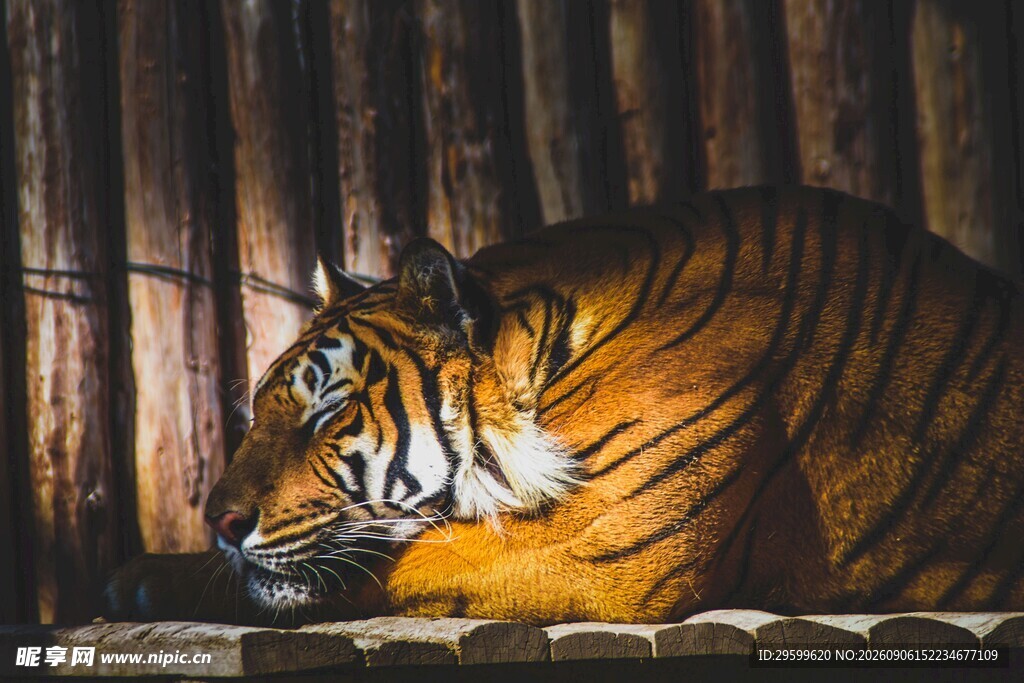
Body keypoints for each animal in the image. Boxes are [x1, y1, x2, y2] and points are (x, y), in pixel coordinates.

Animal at [106, 185, 1024, 626]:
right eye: (260, 412)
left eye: (328, 412)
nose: (220, 522)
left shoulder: (603, 543)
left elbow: (377, 567)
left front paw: (146, 578)